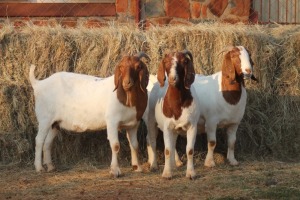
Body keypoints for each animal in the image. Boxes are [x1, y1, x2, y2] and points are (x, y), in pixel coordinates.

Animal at [145, 50, 200, 180]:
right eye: (165, 62)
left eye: (184, 61)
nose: (172, 78)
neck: (178, 105)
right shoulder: (167, 127)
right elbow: (167, 150)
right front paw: (166, 173)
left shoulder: (192, 126)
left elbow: (189, 150)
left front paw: (191, 173)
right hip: (151, 120)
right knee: (152, 140)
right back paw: (154, 165)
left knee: (173, 142)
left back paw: (174, 165)